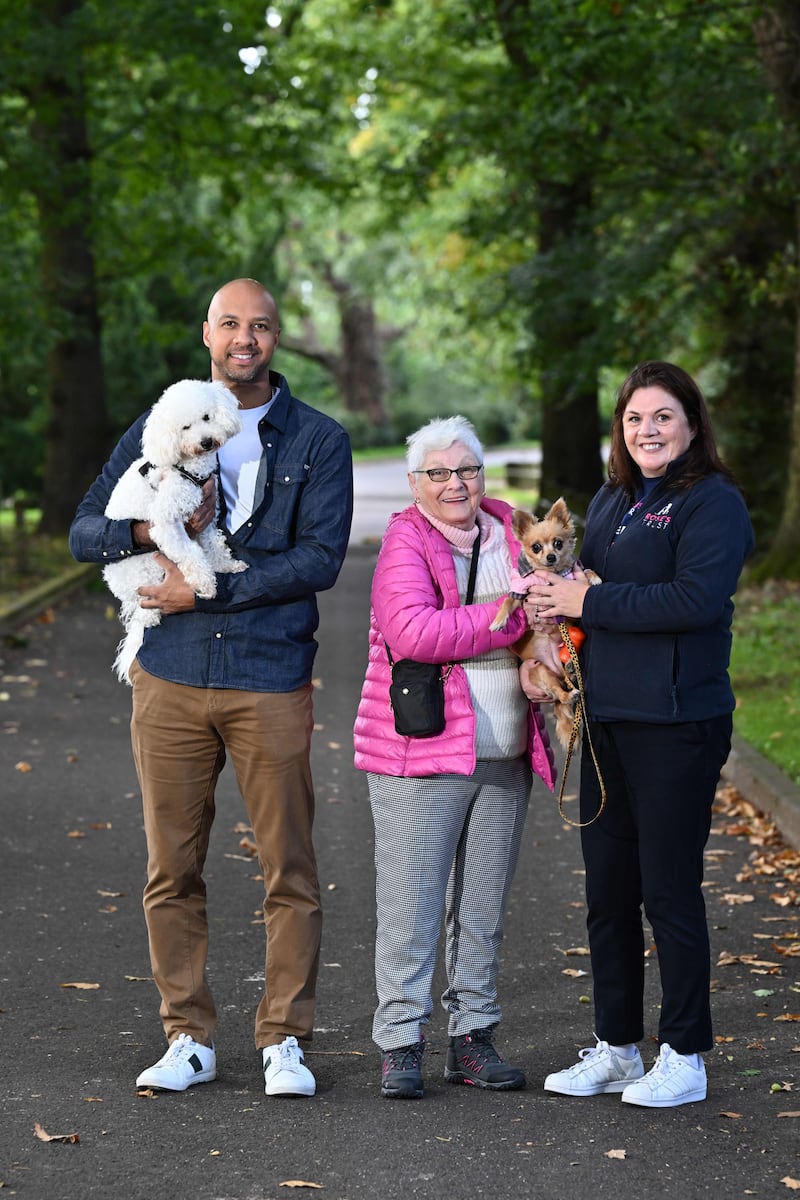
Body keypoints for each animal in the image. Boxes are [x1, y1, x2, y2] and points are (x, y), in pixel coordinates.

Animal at [102, 384, 247, 686]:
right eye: (185, 427)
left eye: (206, 417)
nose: (206, 442)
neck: (187, 469)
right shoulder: (167, 524)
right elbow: (192, 555)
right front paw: (205, 584)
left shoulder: (205, 518)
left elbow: (215, 547)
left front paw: (226, 566)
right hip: (148, 569)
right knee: (146, 613)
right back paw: (151, 615)